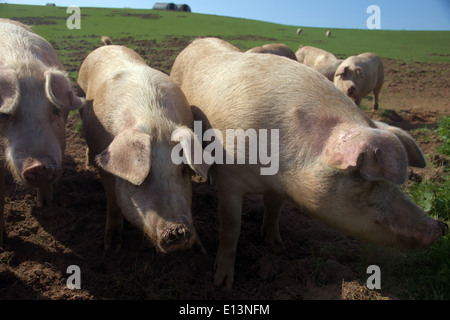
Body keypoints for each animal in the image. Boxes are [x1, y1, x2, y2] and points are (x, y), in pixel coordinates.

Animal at [78, 45, 209, 254]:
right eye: (143, 179)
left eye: (184, 171)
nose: (177, 230)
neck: (155, 120)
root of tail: (108, 45)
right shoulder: (105, 170)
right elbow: (113, 201)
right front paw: (111, 248)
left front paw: (200, 249)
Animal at [171, 38, 448, 290]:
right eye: (364, 178)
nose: (440, 227)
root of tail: (196, 42)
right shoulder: (231, 181)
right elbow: (231, 229)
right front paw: (222, 283)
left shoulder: (279, 186)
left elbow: (273, 210)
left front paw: (276, 245)